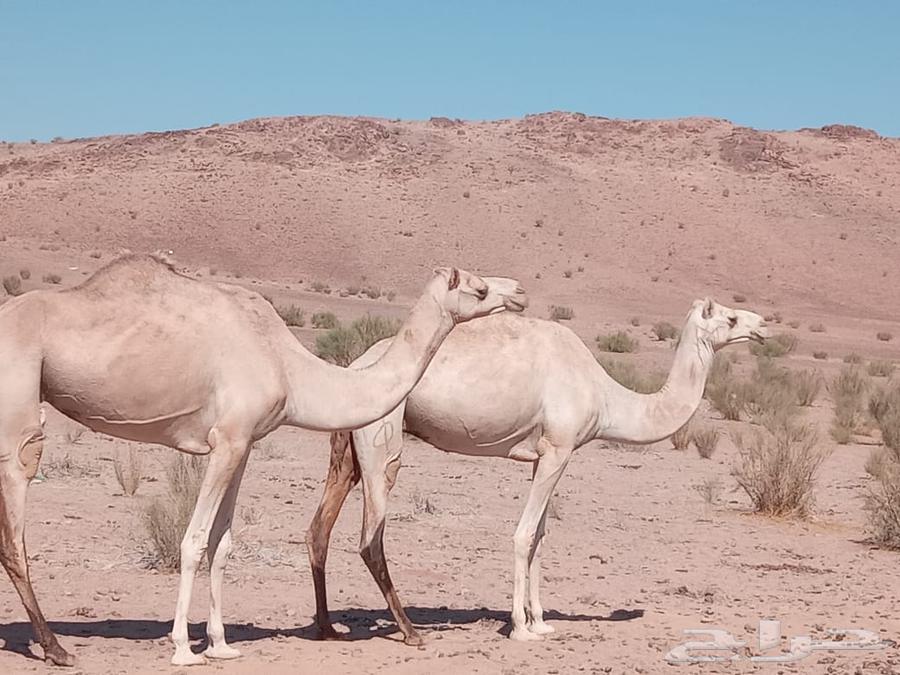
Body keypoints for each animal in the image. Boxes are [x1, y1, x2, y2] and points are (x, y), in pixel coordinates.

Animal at [0, 254, 526, 667]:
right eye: (480, 288)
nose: (520, 292)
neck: (291, 368)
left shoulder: (243, 443)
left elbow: (222, 544)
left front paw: (219, 644)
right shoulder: (228, 438)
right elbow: (193, 540)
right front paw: (182, 648)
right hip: (19, 409)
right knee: (17, 523)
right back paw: (56, 648)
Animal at [306, 298, 767, 643]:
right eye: (729, 318)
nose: (764, 325)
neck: (607, 396)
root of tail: (354, 365)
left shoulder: (544, 455)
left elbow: (542, 537)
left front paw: (541, 621)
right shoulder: (559, 449)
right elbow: (525, 534)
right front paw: (521, 628)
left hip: (348, 444)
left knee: (319, 529)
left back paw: (328, 628)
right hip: (381, 439)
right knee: (371, 537)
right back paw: (409, 630)